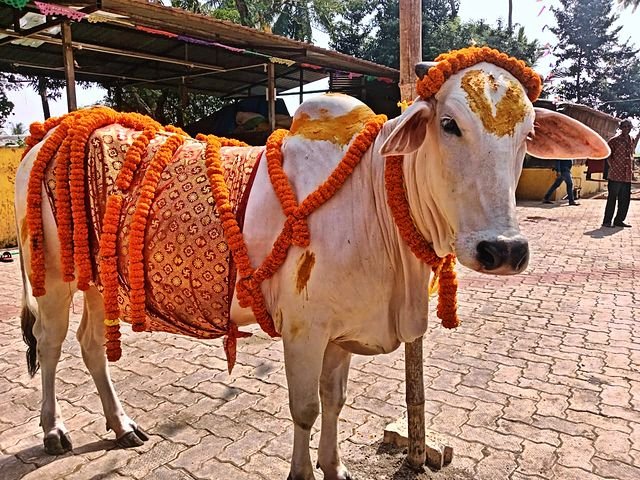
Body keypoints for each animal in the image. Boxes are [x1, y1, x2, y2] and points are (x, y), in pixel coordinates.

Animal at [14, 53, 609, 480]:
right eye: (448, 123)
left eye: (527, 135)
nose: (503, 250)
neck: (376, 198)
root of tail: (49, 132)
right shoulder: (304, 329)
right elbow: (305, 408)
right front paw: (305, 470)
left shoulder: (341, 333)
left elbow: (334, 401)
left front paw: (335, 465)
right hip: (53, 277)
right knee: (49, 343)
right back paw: (53, 430)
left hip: (97, 277)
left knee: (92, 345)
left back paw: (121, 425)